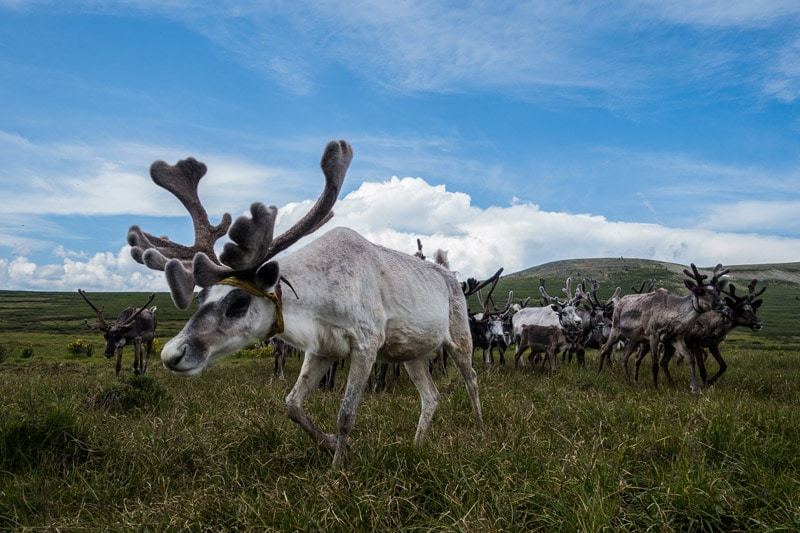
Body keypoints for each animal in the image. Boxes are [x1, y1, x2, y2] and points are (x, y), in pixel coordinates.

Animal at [126, 140, 483, 466]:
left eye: (239, 302)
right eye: (200, 297)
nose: (171, 354)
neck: (316, 302)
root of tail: (449, 275)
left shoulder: (367, 343)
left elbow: (345, 414)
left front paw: (338, 470)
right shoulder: (321, 349)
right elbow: (292, 405)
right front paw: (330, 444)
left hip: (459, 337)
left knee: (472, 380)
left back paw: (481, 429)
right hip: (411, 354)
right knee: (431, 396)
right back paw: (417, 444)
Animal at [598, 264, 729, 393]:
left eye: (718, 290)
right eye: (700, 291)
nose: (722, 304)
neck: (670, 312)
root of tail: (618, 302)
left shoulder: (675, 339)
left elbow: (690, 359)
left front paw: (695, 387)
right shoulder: (653, 335)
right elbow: (655, 364)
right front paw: (656, 387)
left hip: (635, 339)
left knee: (624, 357)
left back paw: (630, 382)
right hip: (616, 330)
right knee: (604, 348)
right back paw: (599, 372)